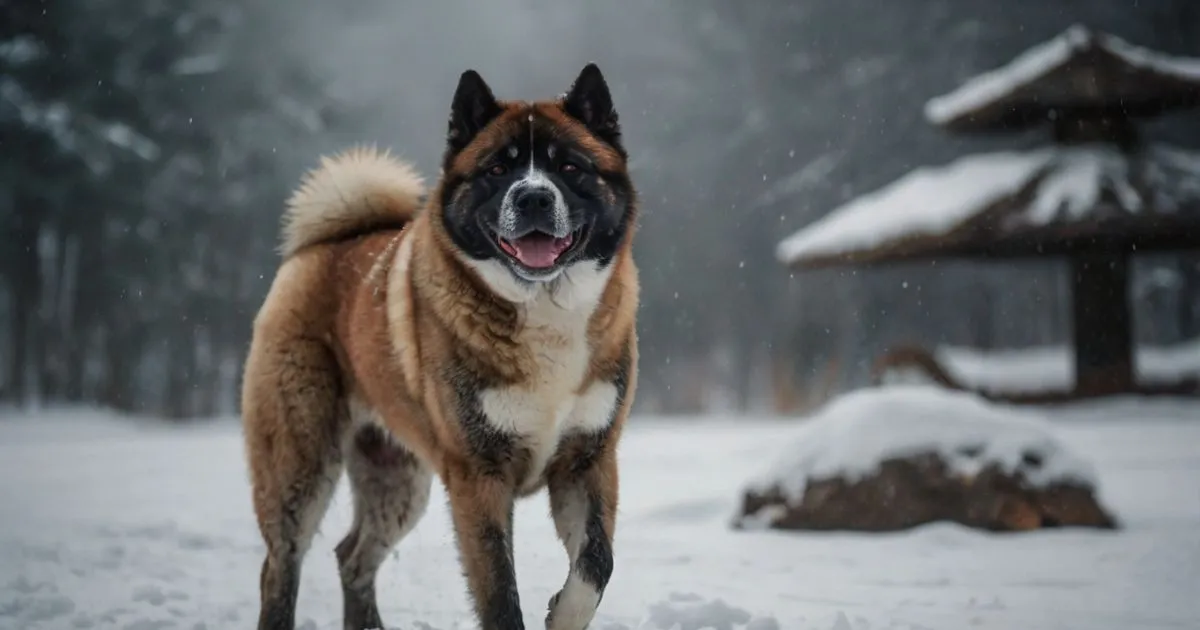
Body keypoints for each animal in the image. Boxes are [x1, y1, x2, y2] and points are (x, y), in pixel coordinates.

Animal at [240, 60, 643, 628]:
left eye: (570, 166)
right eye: (497, 170)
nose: (534, 196)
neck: (542, 308)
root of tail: (324, 245)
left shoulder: (588, 461)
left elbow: (596, 564)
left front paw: (561, 613)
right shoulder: (479, 478)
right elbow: (499, 593)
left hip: (397, 479)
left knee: (351, 557)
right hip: (299, 463)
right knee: (280, 564)